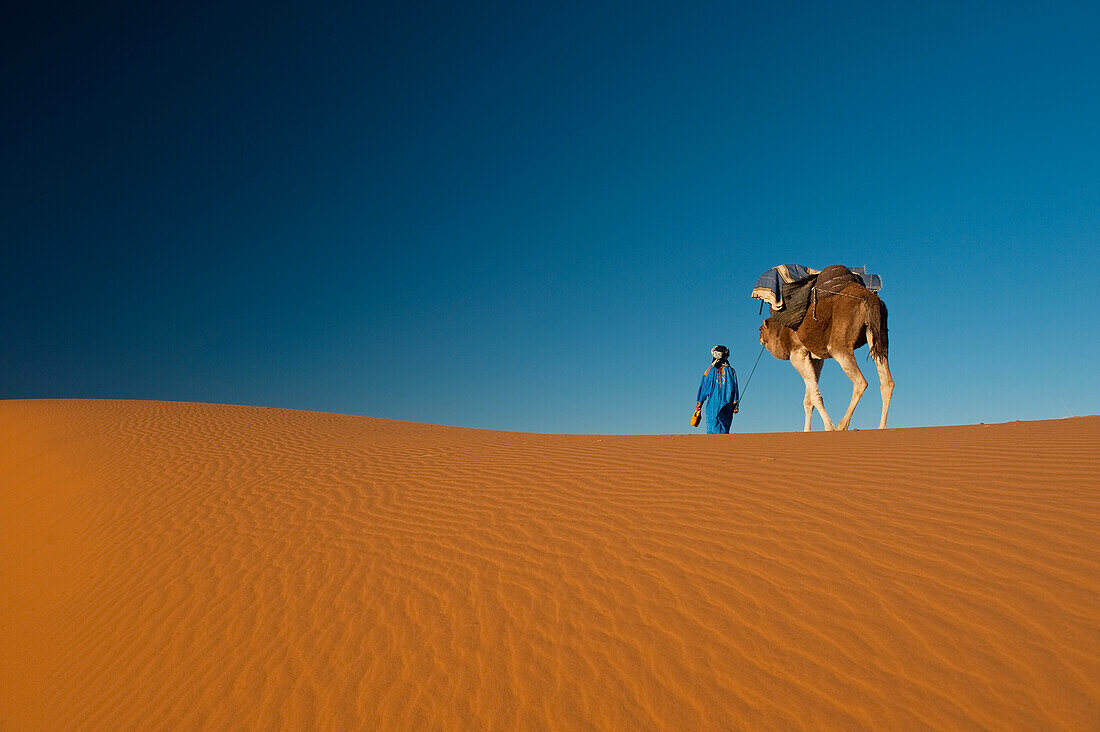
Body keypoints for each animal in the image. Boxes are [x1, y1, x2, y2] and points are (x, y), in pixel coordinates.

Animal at [761, 267, 897, 429]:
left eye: (761, 330)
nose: (759, 336)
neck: (780, 330)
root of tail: (869, 297)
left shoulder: (797, 355)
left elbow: (815, 396)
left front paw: (829, 427)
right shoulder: (814, 358)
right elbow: (808, 401)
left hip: (839, 344)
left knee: (860, 381)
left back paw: (841, 426)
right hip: (879, 335)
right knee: (887, 382)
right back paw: (881, 427)